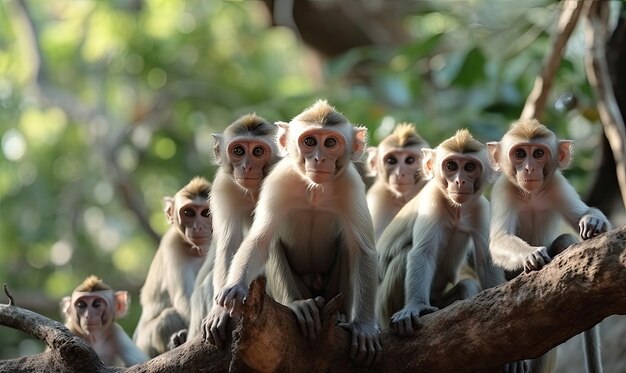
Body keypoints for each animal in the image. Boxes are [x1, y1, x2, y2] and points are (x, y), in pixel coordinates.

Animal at [132, 176, 212, 356]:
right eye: (188, 212)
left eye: (206, 213)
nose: (198, 227)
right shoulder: (172, 243)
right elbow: (183, 296)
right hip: (144, 345)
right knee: (167, 318)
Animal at [184, 113, 280, 348]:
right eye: (238, 151)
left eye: (258, 151)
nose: (246, 167)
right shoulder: (224, 186)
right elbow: (229, 244)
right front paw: (220, 311)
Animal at [214, 99, 380, 364]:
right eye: (310, 141)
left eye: (330, 143)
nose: (319, 159)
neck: (315, 190)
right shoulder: (278, 181)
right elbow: (259, 239)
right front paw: (234, 288)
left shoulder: (351, 185)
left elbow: (363, 250)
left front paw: (363, 328)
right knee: (273, 242)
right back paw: (299, 305)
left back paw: (339, 316)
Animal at [372, 129, 504, 334]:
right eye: (451, 165)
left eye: (470, 167)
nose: (460, 181)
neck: (457, 210)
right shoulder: (431, 203)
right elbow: (422, 253)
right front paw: (415, 307)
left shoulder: (482, 209)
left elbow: (486, 259)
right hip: (384, 309)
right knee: (403, 256)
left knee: (467, 285)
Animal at [486, 119, 608, 372]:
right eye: (520, 154)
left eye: (538, 153)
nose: (529, 169)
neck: (531, 195)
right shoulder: (503, 189)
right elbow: (499, 239)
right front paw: (530, 254)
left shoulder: (558, 184)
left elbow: (591, 217)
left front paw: (593, 220)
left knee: (566, 241)